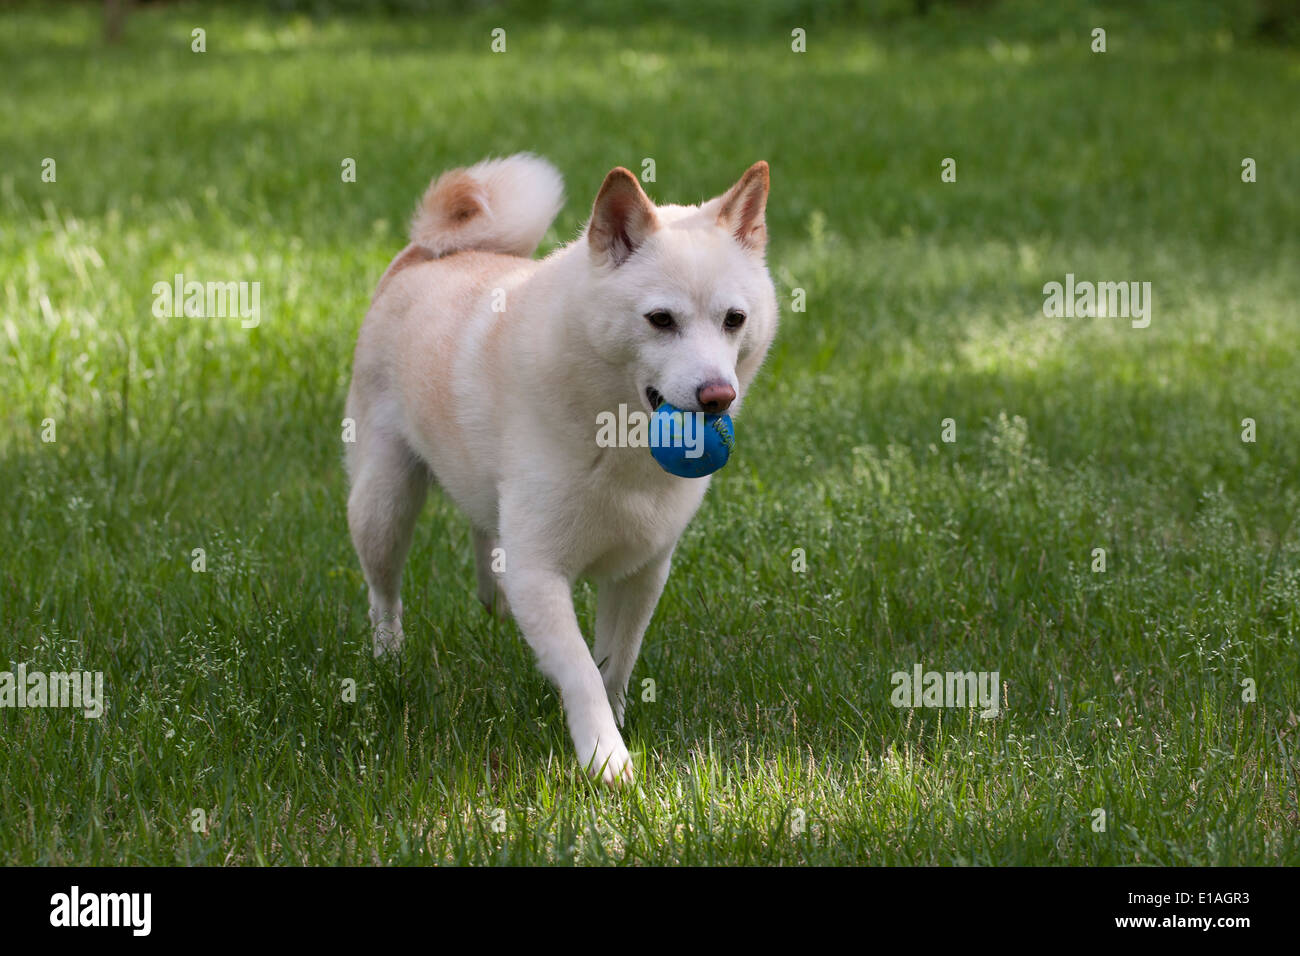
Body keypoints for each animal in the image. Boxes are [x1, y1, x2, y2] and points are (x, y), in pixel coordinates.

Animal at [340, 155, 774, 785]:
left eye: (735, 319)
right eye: (660, 320)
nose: (718, 396)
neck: (619, 441)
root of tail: (422, 252)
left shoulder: (642, 573)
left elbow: (616, 664)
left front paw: (615, 729)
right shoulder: (541, 572)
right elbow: (581, 671)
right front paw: (606, 760)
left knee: (485, 538)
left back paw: (492, 606)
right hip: (384, 502)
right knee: (384, 596)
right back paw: (388, 663)